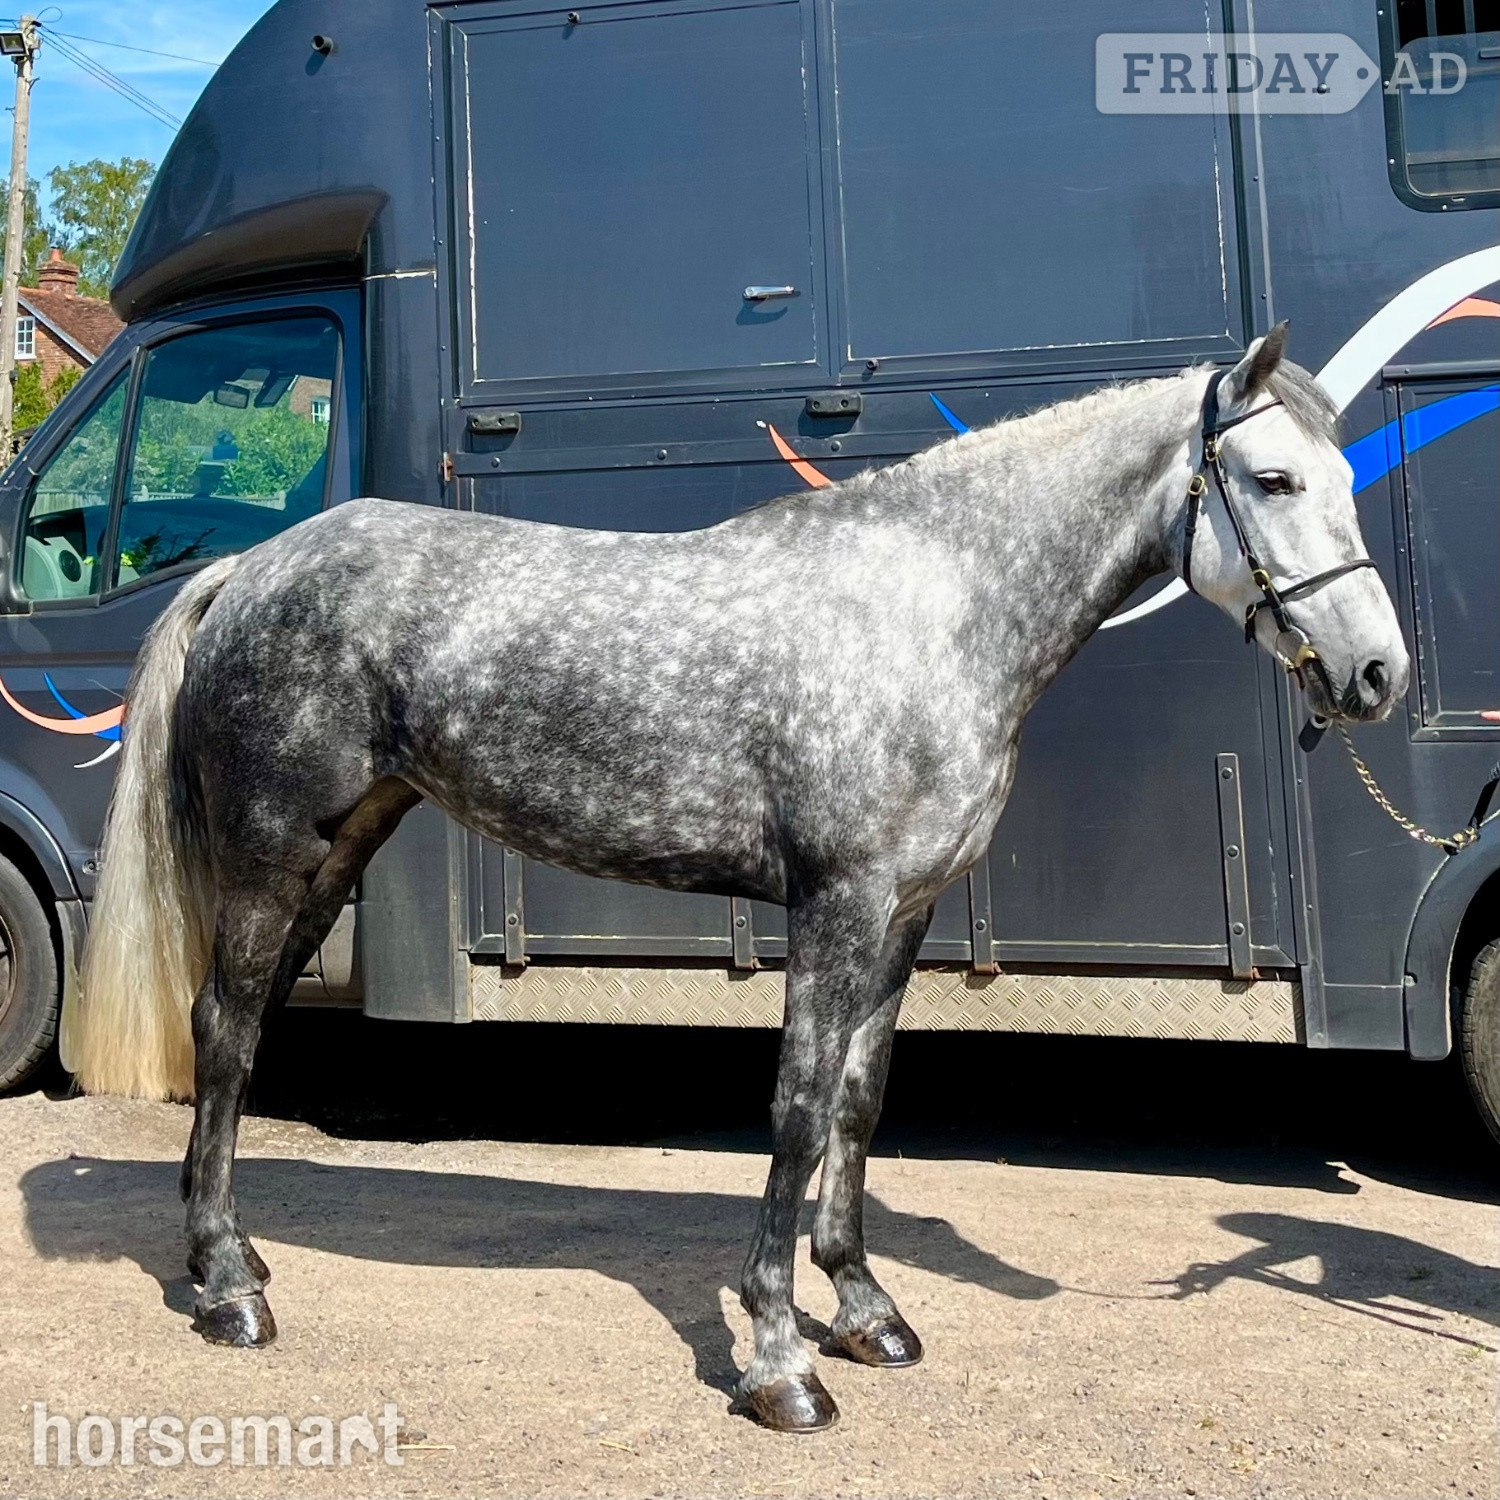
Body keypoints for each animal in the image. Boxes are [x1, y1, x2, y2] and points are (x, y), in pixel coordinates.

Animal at [74, 325, 1407, 1432]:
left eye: (1344, 480)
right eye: (1274, 481)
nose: (1378, 673)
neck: (931, 610)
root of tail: (248, 568)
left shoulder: (903, 916)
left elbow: (860, 1106)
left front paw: (867, 1314)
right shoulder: (835, 907)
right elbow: (798, 1111)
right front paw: (780, 1363)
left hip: (338, 853)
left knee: (244, 1030)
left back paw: (235, 1262)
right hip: (271, 854)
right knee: (224, 1029)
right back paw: (228, 1292)